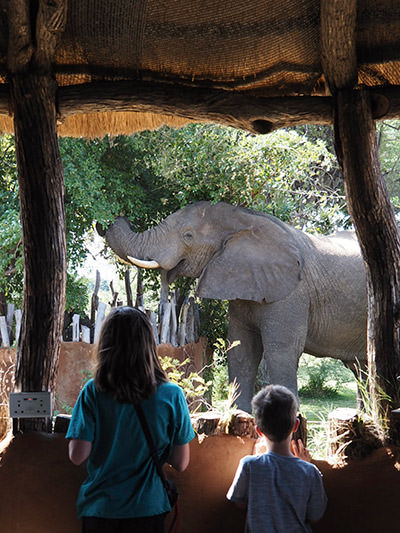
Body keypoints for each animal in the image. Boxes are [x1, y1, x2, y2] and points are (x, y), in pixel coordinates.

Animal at [98, 201, 368, 412]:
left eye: (188, 236)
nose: (116, 216)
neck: (246, 221)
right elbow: (241, 350)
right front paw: (241, 419)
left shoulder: (292, 294)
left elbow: (280, 351)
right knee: (361, 368)